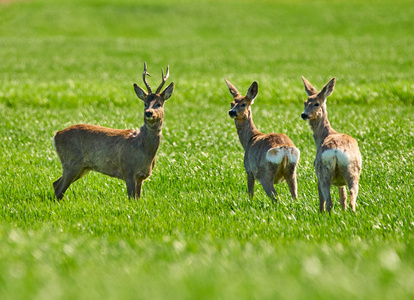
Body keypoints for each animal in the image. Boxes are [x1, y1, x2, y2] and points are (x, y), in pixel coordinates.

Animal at [52, 63, 174, 199]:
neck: (144, 149)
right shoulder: (128, 170)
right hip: (71, 163)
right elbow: (132, 198)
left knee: (55, 183)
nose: (148, 113)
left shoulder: (141, 176)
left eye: (159, 104)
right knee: (58, 188)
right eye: (145, 104)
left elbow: (138, 198)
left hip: (82, 167)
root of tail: (56, 135)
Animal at [300, 77, 362, 213]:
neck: (324, 135)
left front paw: (320, 211)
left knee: (329, 202)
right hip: (353, 171)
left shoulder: (317, 174)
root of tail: (336, 152)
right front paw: (343, 212)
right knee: (351, 198)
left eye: (317, 103)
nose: (304, 114)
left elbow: (322, 199)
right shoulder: (340, 182)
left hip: (323, 172)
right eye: (305, 102)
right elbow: (343, 197)